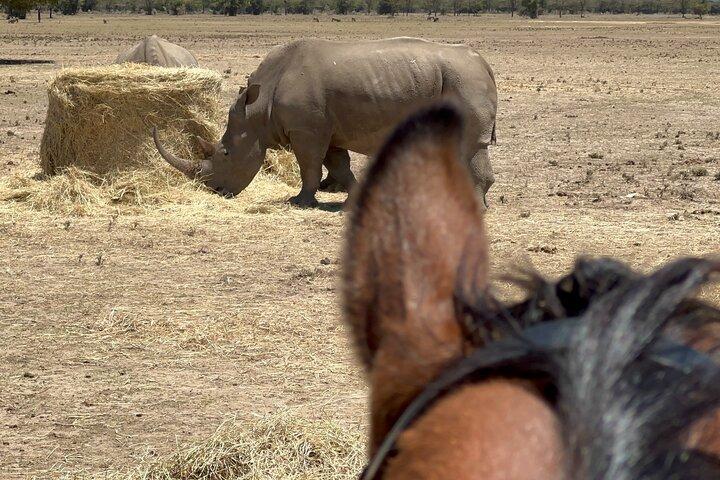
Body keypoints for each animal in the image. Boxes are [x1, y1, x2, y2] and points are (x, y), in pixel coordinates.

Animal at [153, 37, 497, 208]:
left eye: (225, 153)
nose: (215, 191)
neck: (258, 111)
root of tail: (483, 62)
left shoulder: (306, 131)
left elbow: (309, 166)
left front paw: (299, 202)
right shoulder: (325, 129)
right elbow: (339, 166)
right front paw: (354, 200)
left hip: (463, 80)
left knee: (469, 146)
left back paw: (474, 208)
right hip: (457, 78)